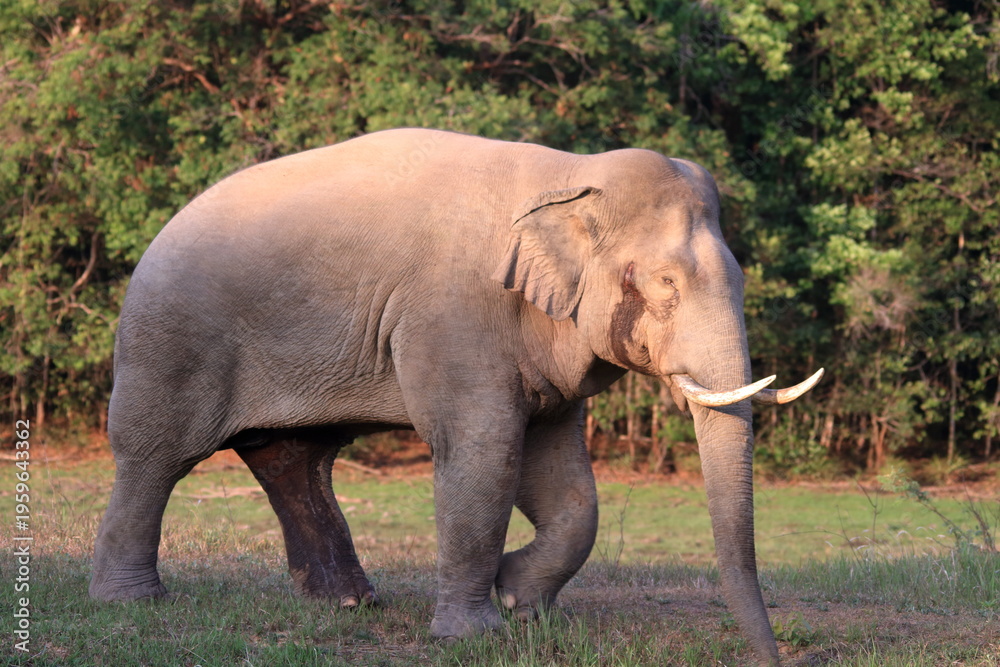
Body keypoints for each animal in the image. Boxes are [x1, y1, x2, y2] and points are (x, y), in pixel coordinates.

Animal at [90, 128, 822, 665]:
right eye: (665, 282)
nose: (771, 656)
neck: (567, 174)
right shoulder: (456, 312)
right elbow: (486, 448)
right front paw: (477, 633)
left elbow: (563, 478)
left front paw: (521, 600)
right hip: (169, 337)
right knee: (155, 456)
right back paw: (130, 604)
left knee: (294, 459)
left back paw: (349, 606)